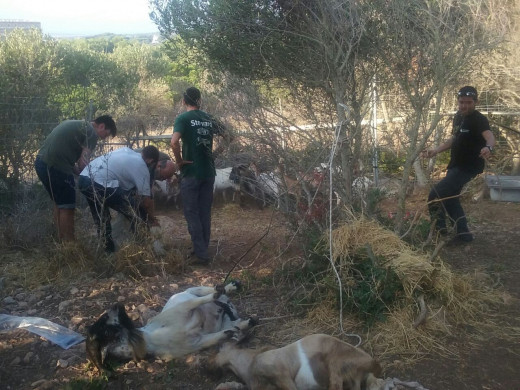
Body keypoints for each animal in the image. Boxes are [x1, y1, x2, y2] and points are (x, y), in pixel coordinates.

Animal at [86, 282, 256, 370]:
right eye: (104, 318)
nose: (115, 304)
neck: (150, 339)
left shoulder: (186, 307)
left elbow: (201, 300)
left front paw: (218, 293)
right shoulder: (197, 342)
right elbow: (217, 337)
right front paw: (231, 333)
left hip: (193, 290)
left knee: (208, 291)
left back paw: (229, 288)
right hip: (223, 319)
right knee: (232, 321)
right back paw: (244, 322)